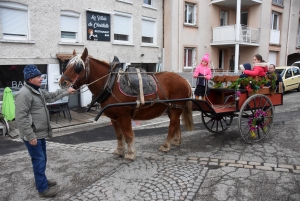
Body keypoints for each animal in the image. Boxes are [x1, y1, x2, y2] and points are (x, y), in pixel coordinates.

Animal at [59, 47, 193, 160]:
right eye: (67, 65)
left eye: (78, 67)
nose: (62, 83)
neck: (110, 84)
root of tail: (184, 80)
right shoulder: (114, 118)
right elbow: (119, 135)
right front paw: (119, 151)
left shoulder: (124, 116)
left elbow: (128, 135)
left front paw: (130, 153)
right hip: (172, 108)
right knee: (176, 123)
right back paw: (176, 141)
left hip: (176, 108)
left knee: (172, 126)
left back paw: (166, 145)